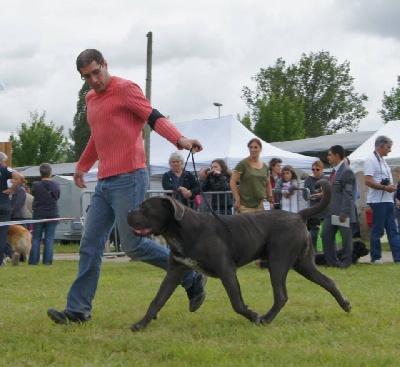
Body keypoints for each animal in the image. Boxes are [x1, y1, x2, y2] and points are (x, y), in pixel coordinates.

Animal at [127, 180, 350, 332]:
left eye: (145, 208)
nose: (128, 213)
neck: (182, 231)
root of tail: (298, 214)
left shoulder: (227, 271)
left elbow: (237, 303)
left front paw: (253, 315)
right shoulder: (174, 271)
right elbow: (157, 300)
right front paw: (140, 324)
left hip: (278, 261)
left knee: (281, 295)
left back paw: (265, 319)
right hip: (303, 263)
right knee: (328, 281)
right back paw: (345, 304)